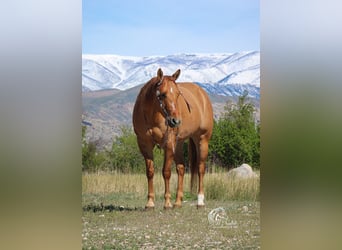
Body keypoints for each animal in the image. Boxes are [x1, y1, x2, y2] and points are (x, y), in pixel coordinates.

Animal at [132, 68, 212, 209]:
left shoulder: (168, 143)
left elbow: (166, 172)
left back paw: (200, 201)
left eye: (178, 94)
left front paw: (167, 203)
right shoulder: (144, 144)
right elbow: (150, 172)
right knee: (181, 168)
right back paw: (178, 202)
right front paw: (150, 203)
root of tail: (202, 94)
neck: (152, 116)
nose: (176, 121)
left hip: (202, 139)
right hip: (178, 143)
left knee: (201, 168)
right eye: (162, 94)